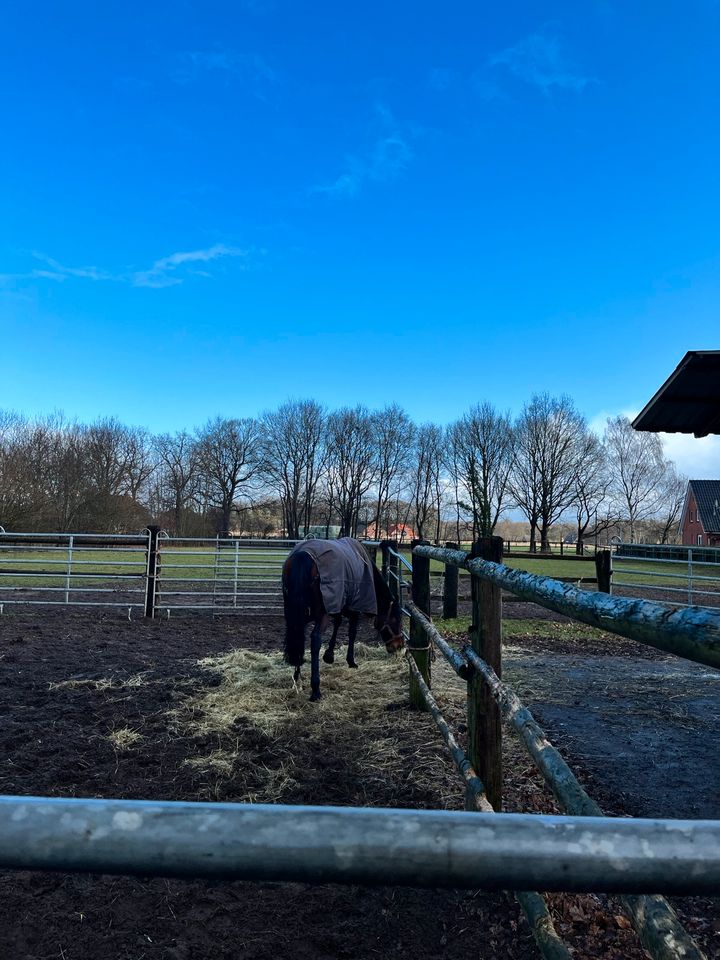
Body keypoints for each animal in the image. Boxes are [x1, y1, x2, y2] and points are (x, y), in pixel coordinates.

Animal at [282, 536, 404, 700]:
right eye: (396, 619)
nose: (399, 645)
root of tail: (302, 555)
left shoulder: (338, 603)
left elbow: (338, 623)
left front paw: (329, 655)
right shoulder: (355, 607)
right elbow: (352, 632)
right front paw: (351, 661)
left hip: (294, 614)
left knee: (297, 639)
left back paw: (297, 677)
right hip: (322, 614)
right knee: (315, 640)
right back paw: (316, 689)